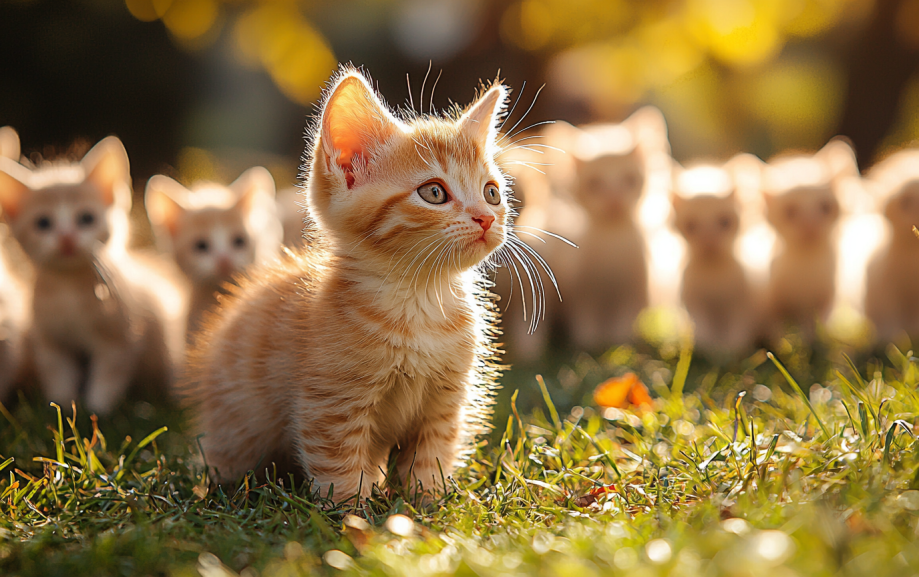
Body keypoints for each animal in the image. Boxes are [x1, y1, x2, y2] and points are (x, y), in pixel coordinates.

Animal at [0, 135, 185, 414]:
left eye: (86, 218)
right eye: (43, 223)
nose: (66, 238)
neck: (69, 294)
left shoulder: (119, 340)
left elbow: (108, 376)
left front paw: (98, 410)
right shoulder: (50, 343)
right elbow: (58, 375)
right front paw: (62, 406)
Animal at [185, 66, 510, 500]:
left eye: (492, 193)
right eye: (434, 192)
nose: (486, 218)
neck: (419, 300)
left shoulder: (444, 401)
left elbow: (431, 455)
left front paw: (427, 500)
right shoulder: (330, 403)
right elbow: (337, 465)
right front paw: (352, 510)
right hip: (236, 429)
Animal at [672, 155, 760, 358]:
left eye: (725, 222)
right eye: (691, 226)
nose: (709, 242)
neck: (713, 273)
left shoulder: (741, 303)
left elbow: (737, 334)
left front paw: (731, 351)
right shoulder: (694, 303)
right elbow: (703, 332)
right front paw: (709, 350)